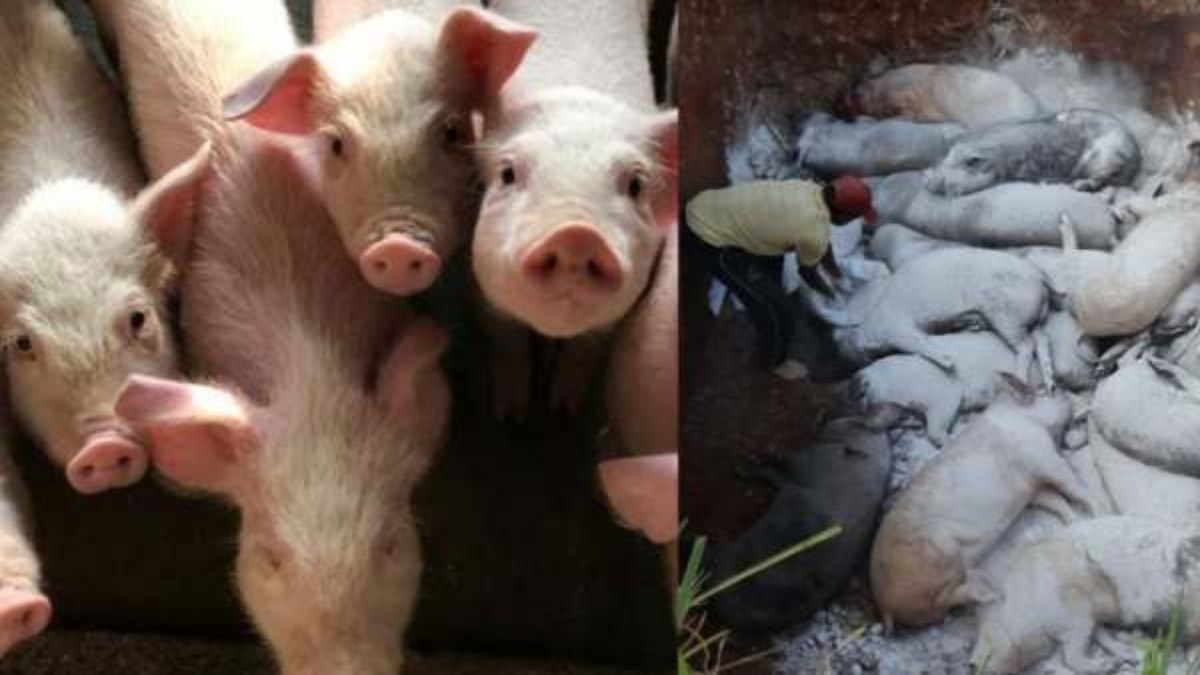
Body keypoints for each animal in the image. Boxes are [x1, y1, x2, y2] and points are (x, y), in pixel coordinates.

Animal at [473, 0, 677, 416]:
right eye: (507, 173)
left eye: (636, 185)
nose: (577, 235)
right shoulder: (485, 299)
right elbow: (507, 340)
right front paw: (510, 413)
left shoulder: (613, 320)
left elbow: (586, 348)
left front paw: (564, 407)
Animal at [829, 247, 1049, 371]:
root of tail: (1039, 279)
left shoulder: (898, 328)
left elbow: (918, 343)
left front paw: (948, 362)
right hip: (1026, 319)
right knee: (1040, 341)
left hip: (1005, 315)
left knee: (1026, 346)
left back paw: (1017, 375)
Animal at [845, 332, 1018, 446]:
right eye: (857, 400)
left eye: (860, 396)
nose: (859, 408)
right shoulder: (893, 408)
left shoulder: (944, 396)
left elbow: (934, 431)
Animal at [869, 376, 1090, 629]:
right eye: (1048, 390)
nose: (1063, 387)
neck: (1026, 418)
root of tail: (884, 606)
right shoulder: (1044, 457)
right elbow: (1072, 486)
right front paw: (1094, 508)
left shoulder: (1032, 489)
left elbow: (1056, 501)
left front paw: (1075, 521)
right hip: (937, 553)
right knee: (945, 600)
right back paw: (992, 592)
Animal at [925, 109, 1141, 196]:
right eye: (944, 158)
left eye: (971, 162)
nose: (929, 180)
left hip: (1105, 158)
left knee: (1100, 179)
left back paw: (1078, 184)